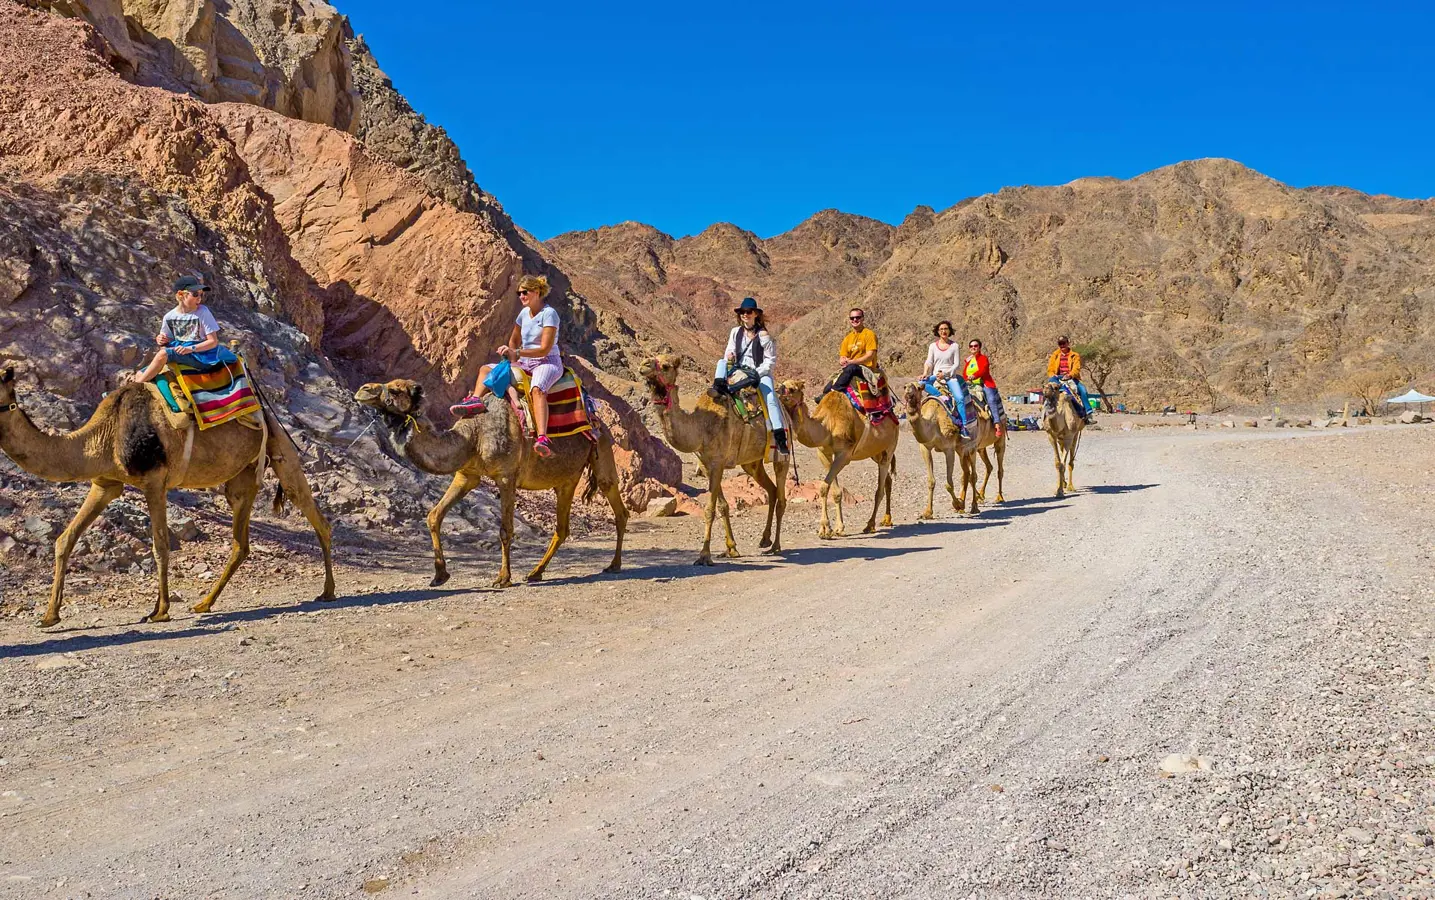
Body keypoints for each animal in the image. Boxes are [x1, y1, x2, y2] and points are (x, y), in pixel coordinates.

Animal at [0, 366, 334, 625]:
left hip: (280, 447)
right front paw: (49, 616)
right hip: (242, 478)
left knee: (315, 515)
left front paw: (159, 611)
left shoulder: (154, 481)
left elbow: (160, 545)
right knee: (241, 542)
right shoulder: (106, 483)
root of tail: (263, 408)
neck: (105, 434)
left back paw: (328, 591)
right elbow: (64, 539)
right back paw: (204, 603)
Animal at [350, 378, 625, 585]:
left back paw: (614, 565)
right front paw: (440, 575)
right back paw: (536, 572)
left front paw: (503, 578)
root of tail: (596, 419)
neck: (474, 436)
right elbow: (434, 515)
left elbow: (505, 530)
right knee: (562, 528)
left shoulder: (506, 476)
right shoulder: (466, 475)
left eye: (395, 389)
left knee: (617, 506)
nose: (363, 389)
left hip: (602, 451)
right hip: (566, 479)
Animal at [640, 357, 792, 562]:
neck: (700, 427)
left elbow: (709, 509)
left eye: (666, 366)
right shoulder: (706, 465)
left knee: (781, 496)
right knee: (772, 490)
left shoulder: (717, 463)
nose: (643, 365)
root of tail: (786, 413)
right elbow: (722, 506)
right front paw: (731, 549)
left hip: (782, 455)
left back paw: (776, 546)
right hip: (751, 463)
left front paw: (704, 555)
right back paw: (765, 540)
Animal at [780, 378, 889, 539]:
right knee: (888, 481)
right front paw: (837, 528)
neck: (827, 425)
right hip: (876, 453)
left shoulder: (844, 454)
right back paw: (887, 519)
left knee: (880, 489)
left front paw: (825, 529)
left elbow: (824, 487)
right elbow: (834, 491)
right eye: (781, 385)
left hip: (889, 447)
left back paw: (870, 525)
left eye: (792, 388)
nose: (778, 391)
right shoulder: (823, 452)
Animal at [901, 381, 1004, 522]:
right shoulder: (925, 448)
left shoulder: (949, 448)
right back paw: (972, 500)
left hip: (985, 443)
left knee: (982, 472)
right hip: (964, 449)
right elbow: (931, 481)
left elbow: (949, 484)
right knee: (969, 472)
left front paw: (957, 504)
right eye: (905, 387)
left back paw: (984, 503)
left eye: (919, 388)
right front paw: (927, 513)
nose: (908, 392)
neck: (933, 422)